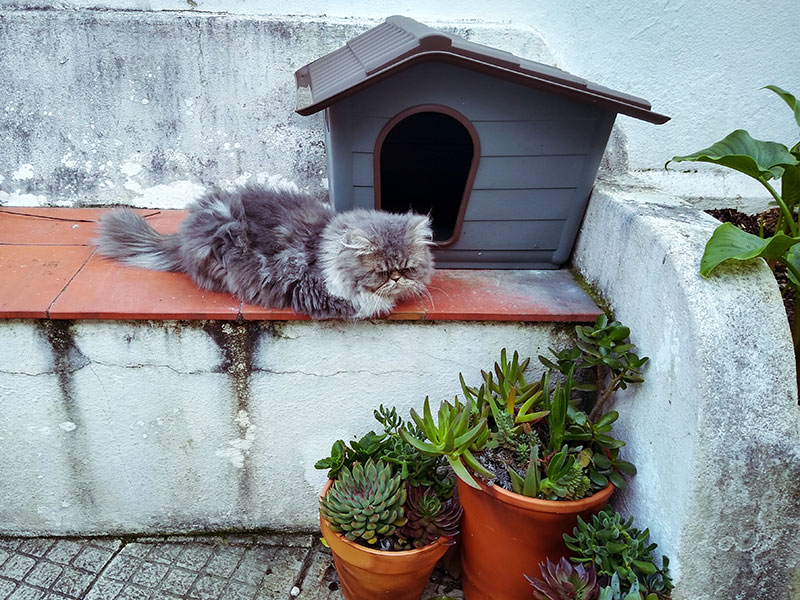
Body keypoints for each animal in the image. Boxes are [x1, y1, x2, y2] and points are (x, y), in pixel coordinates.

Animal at [96, 185, 434, 318]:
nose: (396, 278)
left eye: (407, 268)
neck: (326, 244)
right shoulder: (318, 290)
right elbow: (366, 302)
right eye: (381, 272)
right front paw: (384, 300)